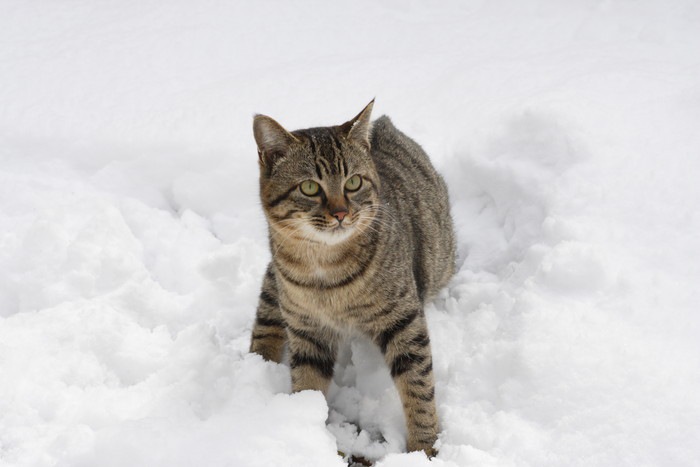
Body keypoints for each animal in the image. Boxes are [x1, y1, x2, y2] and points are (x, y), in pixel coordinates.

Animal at [249, 100, 456, 456]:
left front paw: (424, 448)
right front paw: (308, 436)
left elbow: (418, 384)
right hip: (276, 284)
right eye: (309, 187)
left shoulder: (404, 319)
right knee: (265, 322)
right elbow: (307, 385)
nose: (341, 213)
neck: (324, 268)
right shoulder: (307, 330)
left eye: (354, 182)